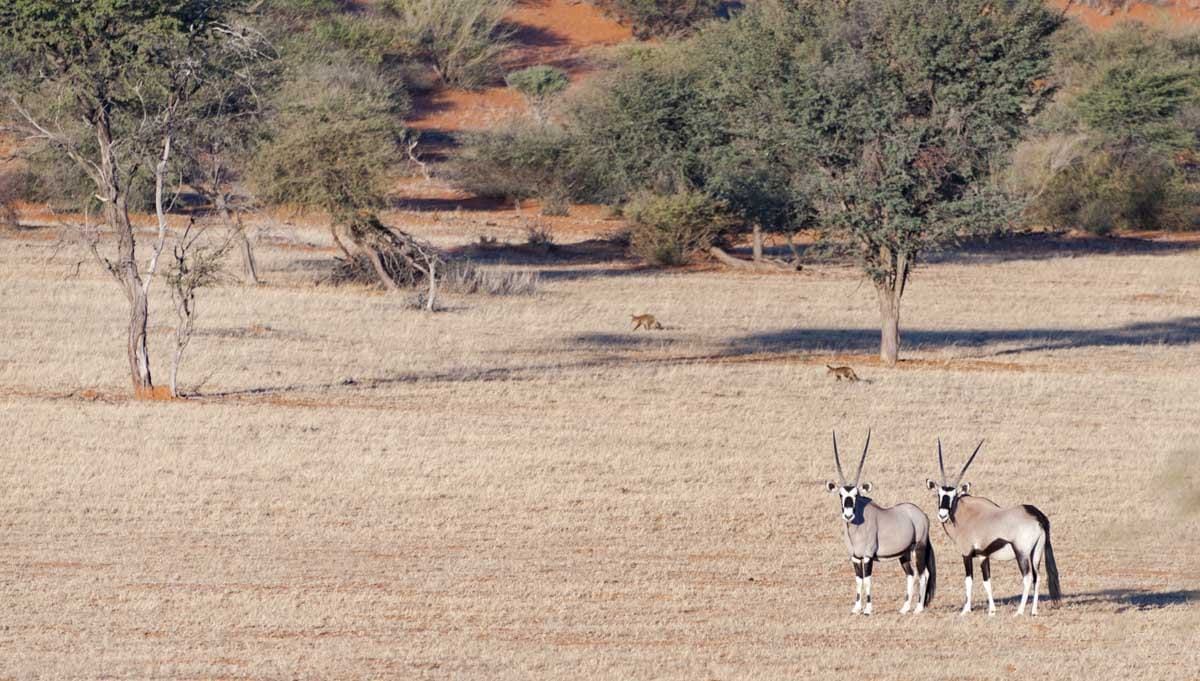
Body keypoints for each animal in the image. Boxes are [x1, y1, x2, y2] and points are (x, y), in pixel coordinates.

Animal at [825, 431, 936, 618]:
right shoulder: (855, 557)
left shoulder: (868, 556)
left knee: (923, 574)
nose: (848, 515)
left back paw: (918, 608)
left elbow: (868, 580)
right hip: (904, 554)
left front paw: (868, 609)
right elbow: (859, 580)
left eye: (856, 495)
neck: (857, 527)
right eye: (841, 495)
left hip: (919, 547)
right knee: (911, 574)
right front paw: (856, 608)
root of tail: (921, 514)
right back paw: (905, 608)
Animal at [926, 441, 1060, 618]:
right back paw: (1033, 611)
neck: (966, 514)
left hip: (1022, 553)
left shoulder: (966, 554)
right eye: (939, 495)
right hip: (1036, 552)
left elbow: (969, 580)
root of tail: (1038, 516)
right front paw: (992, 610)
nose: (942, 514)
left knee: (1027, 577)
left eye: (954, 496)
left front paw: (965, 610)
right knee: (1037, 577)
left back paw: (1020, 611)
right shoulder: (983, 555)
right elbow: (987, 581)